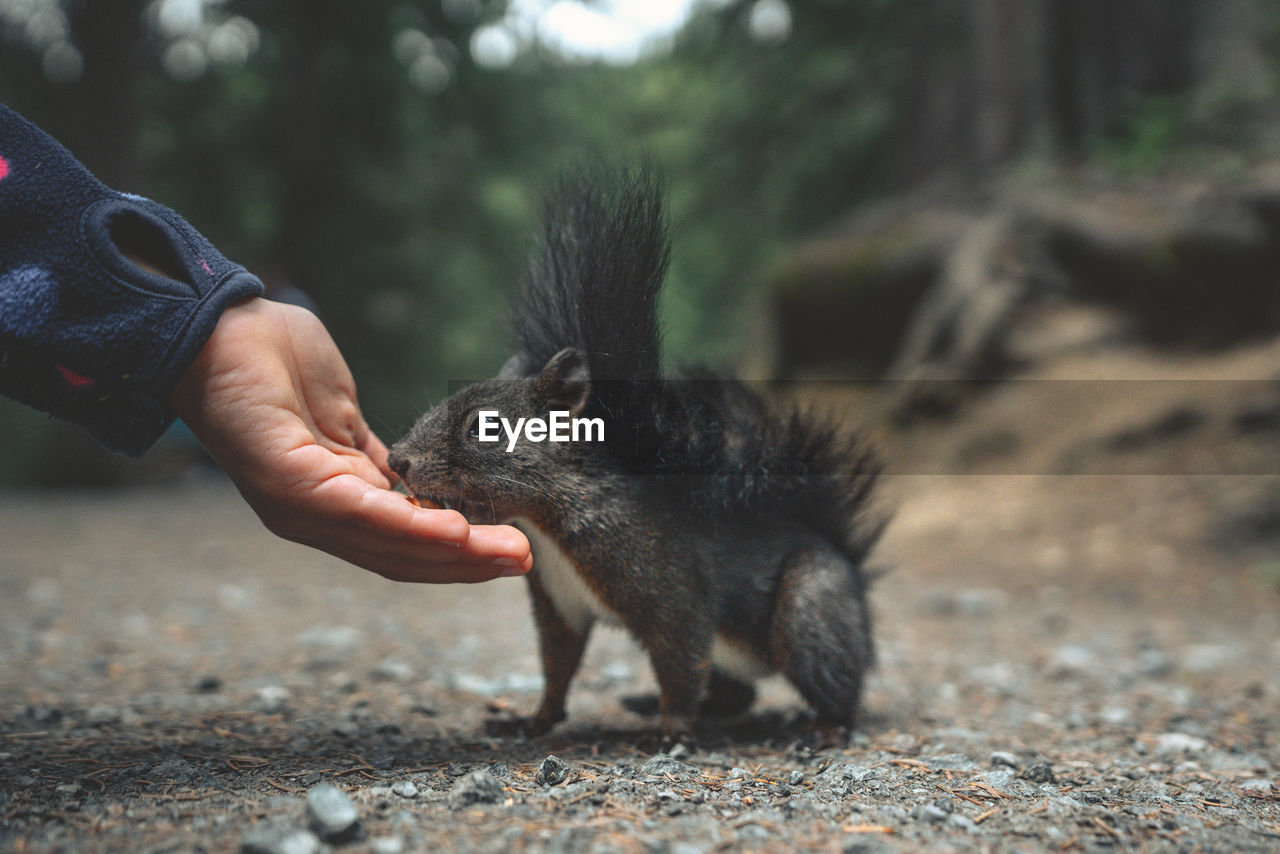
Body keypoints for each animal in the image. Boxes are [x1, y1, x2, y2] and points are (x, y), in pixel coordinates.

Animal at [384, 170, 885, 737]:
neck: (545, 522)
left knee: (833, 681)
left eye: (481, 427)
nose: (397, 460)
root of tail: (853, 570)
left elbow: (680, 655)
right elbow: (558, 667)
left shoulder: (666, 584)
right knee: (739, 693)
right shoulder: (558, 600)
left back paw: (821, 727)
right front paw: (533, 720)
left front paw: (673, 728)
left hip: (810, 607)